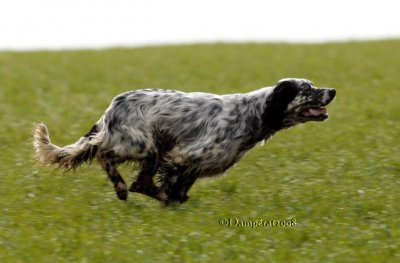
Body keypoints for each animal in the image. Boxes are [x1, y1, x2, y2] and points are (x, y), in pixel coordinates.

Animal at [32, 77, 336, 205]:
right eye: (307, 89)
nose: (332, 91)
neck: (252, 113)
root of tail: (111, 108)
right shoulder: (185, 154)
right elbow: (172, 184)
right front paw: (170, 200)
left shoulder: (195, 164)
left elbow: (179, 187)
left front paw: (176, 200)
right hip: (143, 145)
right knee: (109, 160)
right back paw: (121, 189)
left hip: (152, 148)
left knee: (139, 181)